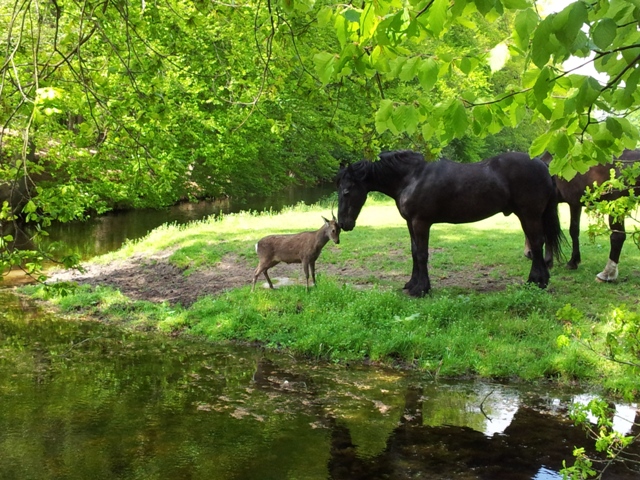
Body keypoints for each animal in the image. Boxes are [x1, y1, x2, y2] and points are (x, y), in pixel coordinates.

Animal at [336, 150, 565, 297]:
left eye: (346, 191)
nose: (343, 224)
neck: (412, 177)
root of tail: (543, 166)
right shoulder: (411, 223)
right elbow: (414, 252)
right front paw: (412, 284)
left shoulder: (421, 223)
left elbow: (422, 254)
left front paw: (421, 289)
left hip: (529, 215)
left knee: (536, 243)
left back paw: (537, 281)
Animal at [524, 149, 640, 282]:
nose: (528, 253)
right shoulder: (575, 204)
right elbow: (572, 231)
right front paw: (572, 261)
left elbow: (553, 232)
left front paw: (549, 262)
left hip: (615, 207)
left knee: (617, 237)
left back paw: (607, 273)